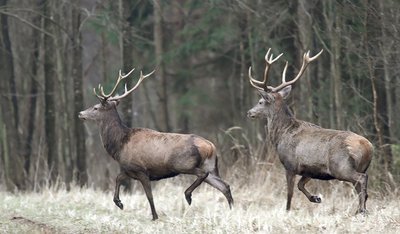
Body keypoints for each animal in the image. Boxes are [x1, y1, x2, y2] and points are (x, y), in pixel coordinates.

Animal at [78, 67, 233, 219]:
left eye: (95, 107)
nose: (80, 113)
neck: (119, 146)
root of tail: (210, 146)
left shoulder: (141, 169)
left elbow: (149, 196)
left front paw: (154, 216)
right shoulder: (129, 169)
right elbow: (117, 178)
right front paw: (119, 203)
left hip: (183, 164)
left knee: (204, 175)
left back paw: (188, 195)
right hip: (210, 166)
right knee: (224, 185)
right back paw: (231, 211)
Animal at [248, 47, 374, 214]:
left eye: (261, 101)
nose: (249, 112)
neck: (281, 135)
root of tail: (368, 147)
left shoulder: (290, 164)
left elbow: (290, 193)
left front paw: (287, 211)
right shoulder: (310, 170)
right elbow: (300, 185)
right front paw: (316, 198)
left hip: (341, 167)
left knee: (362, 179)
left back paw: (362, 210)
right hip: (358, 166)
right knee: (361, 186)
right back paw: (359, 210)